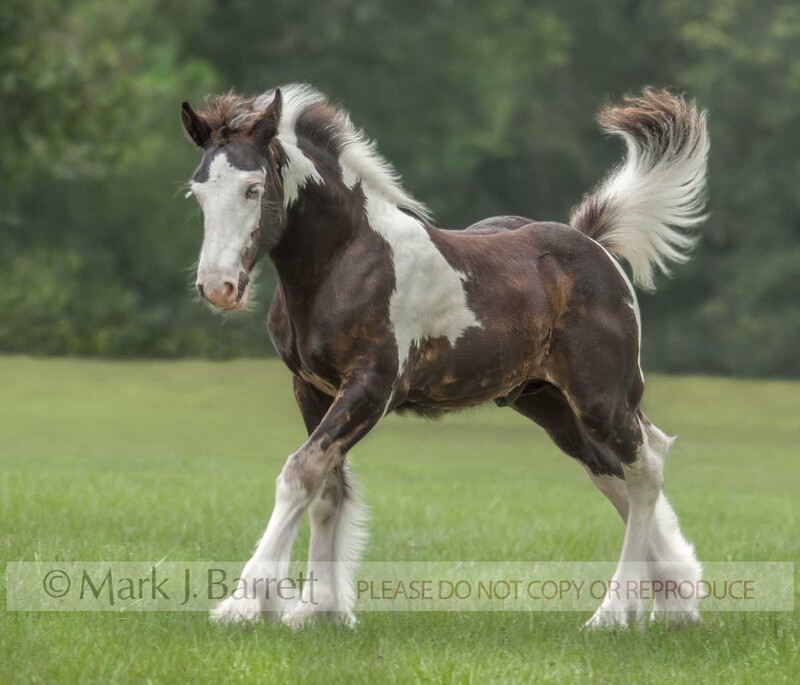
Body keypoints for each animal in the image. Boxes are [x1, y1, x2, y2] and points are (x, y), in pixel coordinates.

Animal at [181, 84, 708, 629]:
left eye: (252, 188)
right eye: (198, 193)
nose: (218, 287)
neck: (347, 260)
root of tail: (594, 245)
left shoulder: (371, 387)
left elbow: (299, 474)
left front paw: (246, 601)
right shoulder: (310, 388)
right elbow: (327, 488)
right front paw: (319, 609)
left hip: (600, 395)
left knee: (646, 468)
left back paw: (614, 612)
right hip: (548, 404)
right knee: (615, 473)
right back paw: (676, 599)